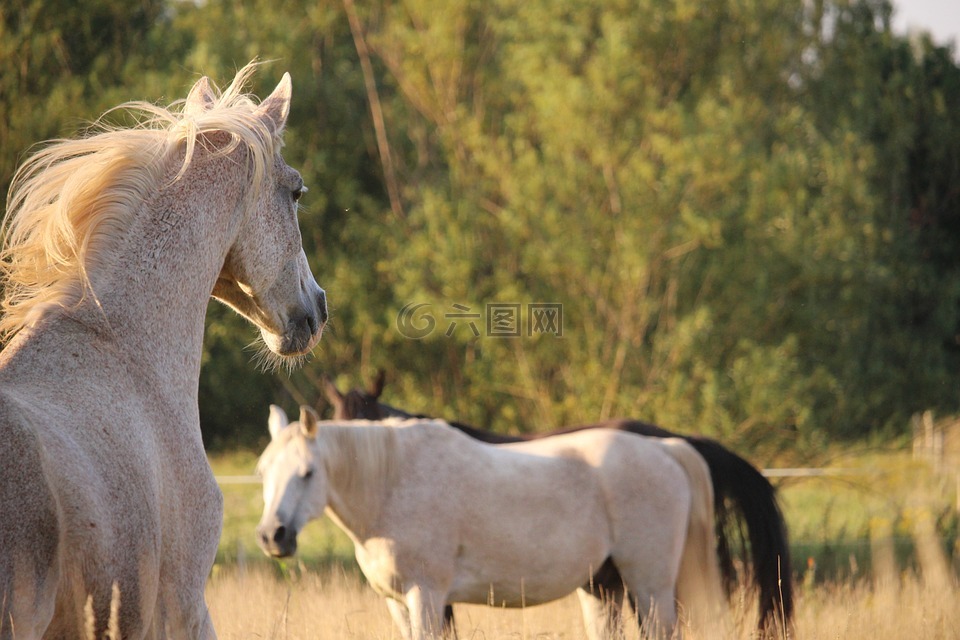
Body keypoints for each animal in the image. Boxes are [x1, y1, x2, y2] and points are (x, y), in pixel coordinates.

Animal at [256, 406, 728, 640]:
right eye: (263, 471)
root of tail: (665, 448)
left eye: (307, 473)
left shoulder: (426, 596)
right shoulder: (397, 602)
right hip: (601, 586)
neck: (391, 484)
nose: (272, 536)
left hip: (650, 588)